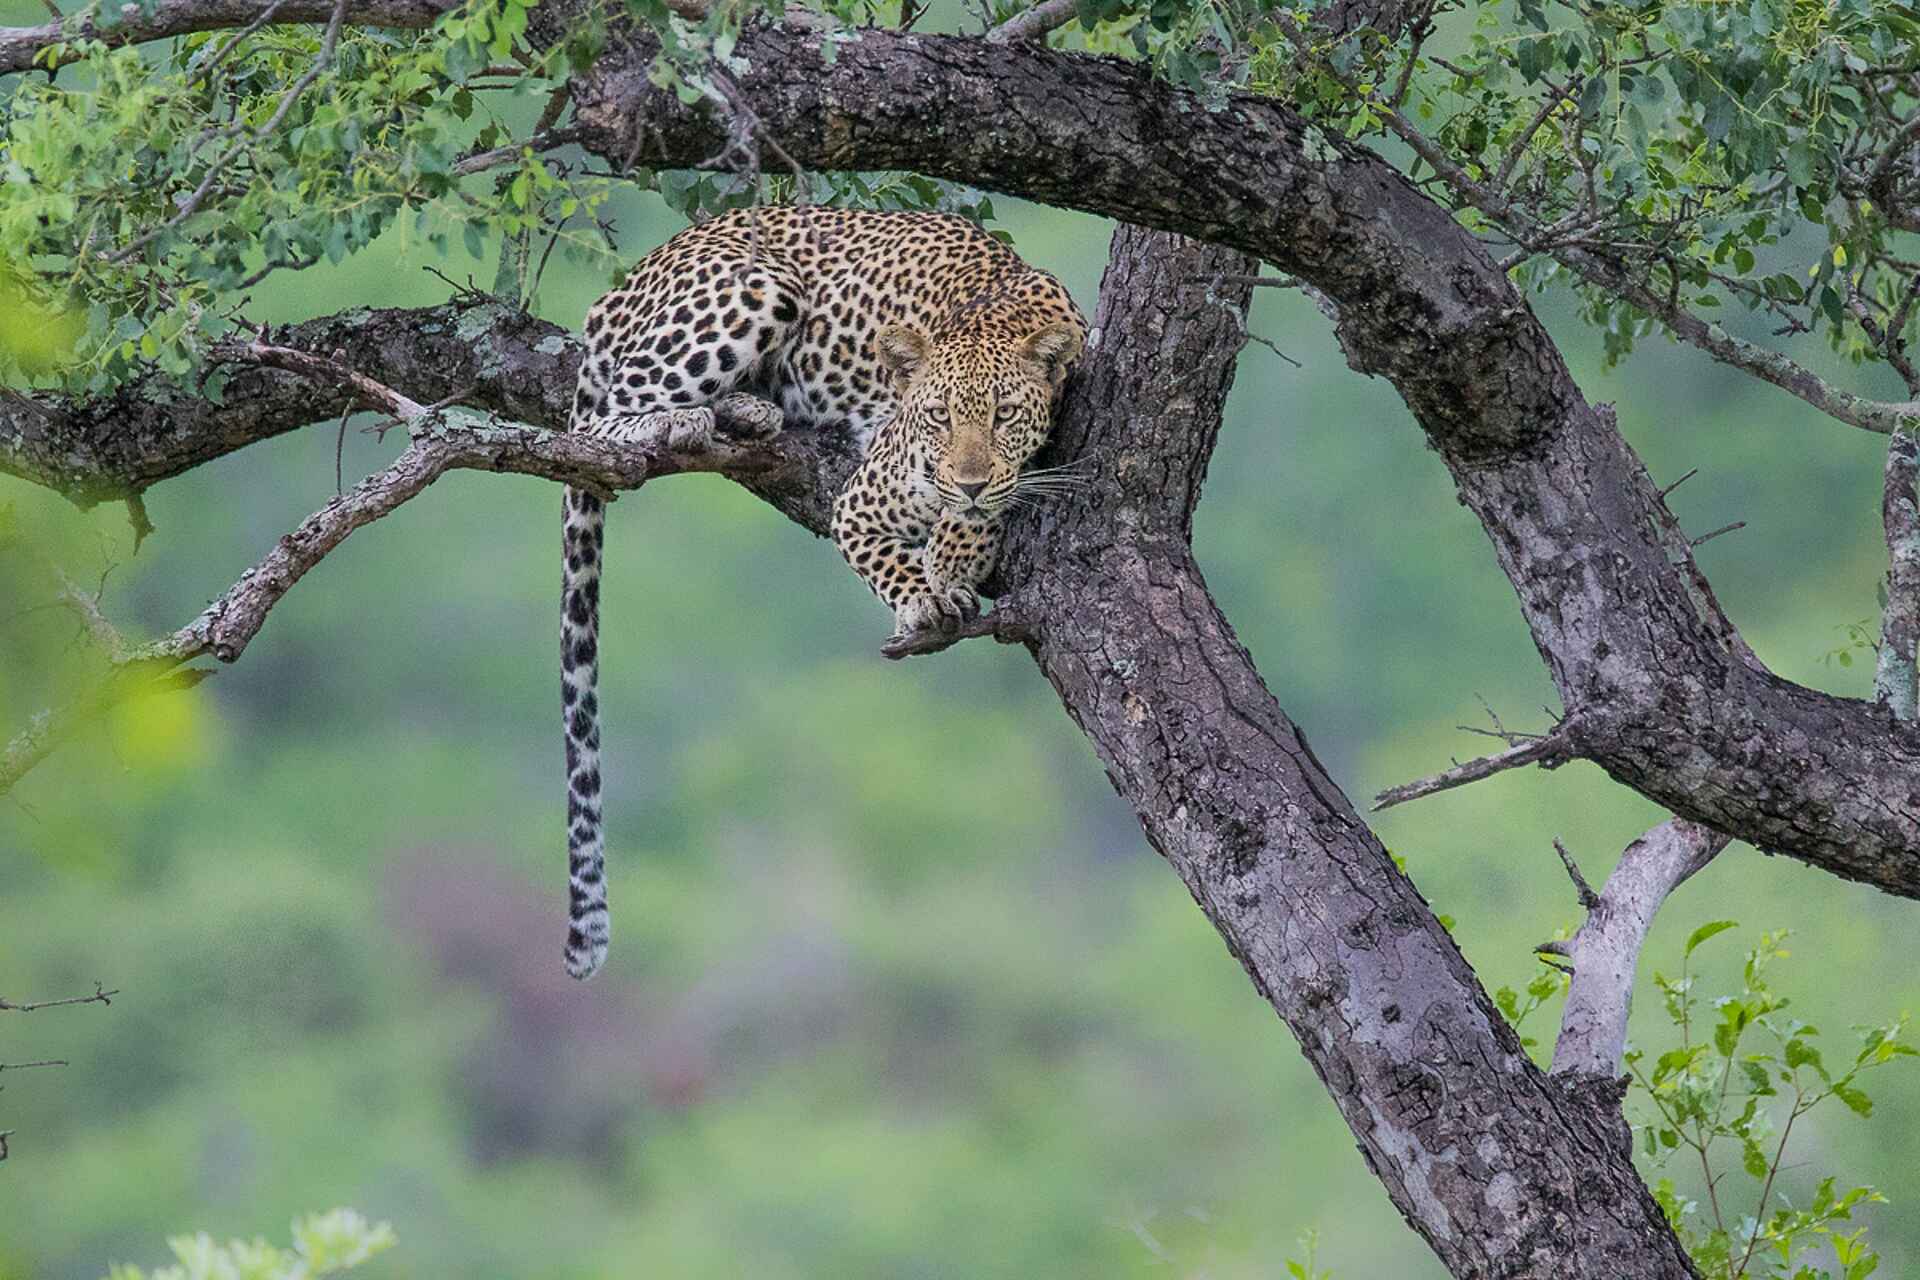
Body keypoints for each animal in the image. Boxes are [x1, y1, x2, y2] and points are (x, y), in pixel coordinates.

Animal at [559, 204, 1087, 979]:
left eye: (1003, 415)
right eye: (938, 416)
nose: (964, 479)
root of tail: (627, 281)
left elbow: (991, 505)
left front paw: (956, 552)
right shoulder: (864, 497)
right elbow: (883, 552)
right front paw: (926, 594)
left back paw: (748, 411)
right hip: (752, 289)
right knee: (603, 417)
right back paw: (685, 419)